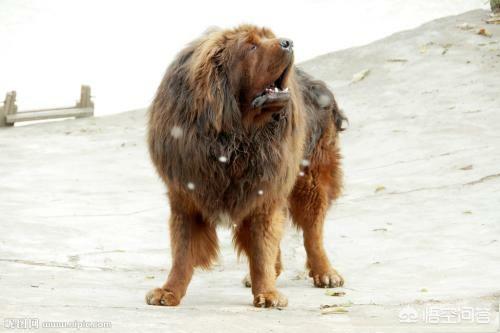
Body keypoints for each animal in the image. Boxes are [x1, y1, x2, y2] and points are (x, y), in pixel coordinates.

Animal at [146, 24, 346, 308]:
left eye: (268, 37)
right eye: (251, 46)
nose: (288, 42)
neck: (233, 134)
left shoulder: (265, 189)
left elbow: (262, 247)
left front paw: (268, 293)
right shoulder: (186, 195)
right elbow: (182, 251)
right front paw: (169, 291)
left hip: (311, 179)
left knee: (312, 231)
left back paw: (325, 272)